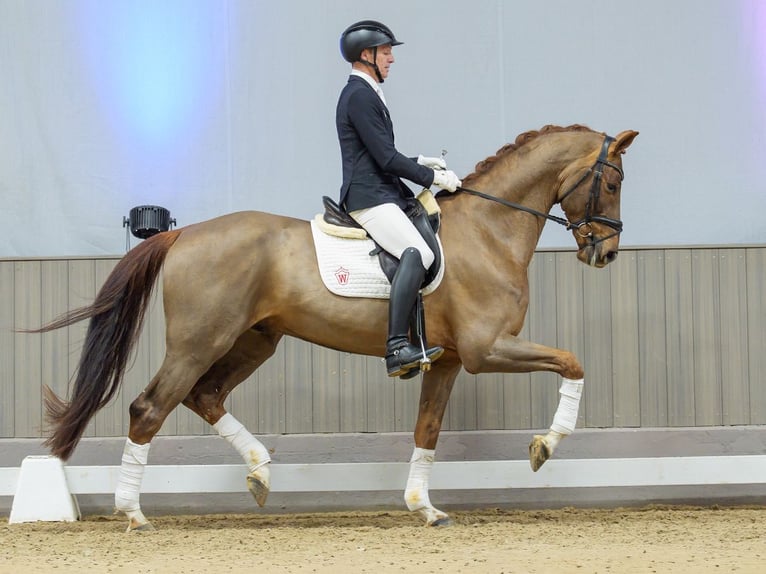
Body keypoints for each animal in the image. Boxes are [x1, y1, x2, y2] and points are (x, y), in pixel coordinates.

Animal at [32, 124, 638, 530]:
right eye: (612, 181)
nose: (606, 253)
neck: (490, 230)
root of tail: (183, 233)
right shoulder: (486, 350)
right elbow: (573, 362)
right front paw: (544, 446)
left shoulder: (446, 360)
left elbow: (427, 430)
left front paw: (425, 507)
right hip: (199, 341)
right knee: (150, 408)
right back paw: (133, 513)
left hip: (255, 341)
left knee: (204, 396)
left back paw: (260, 473)